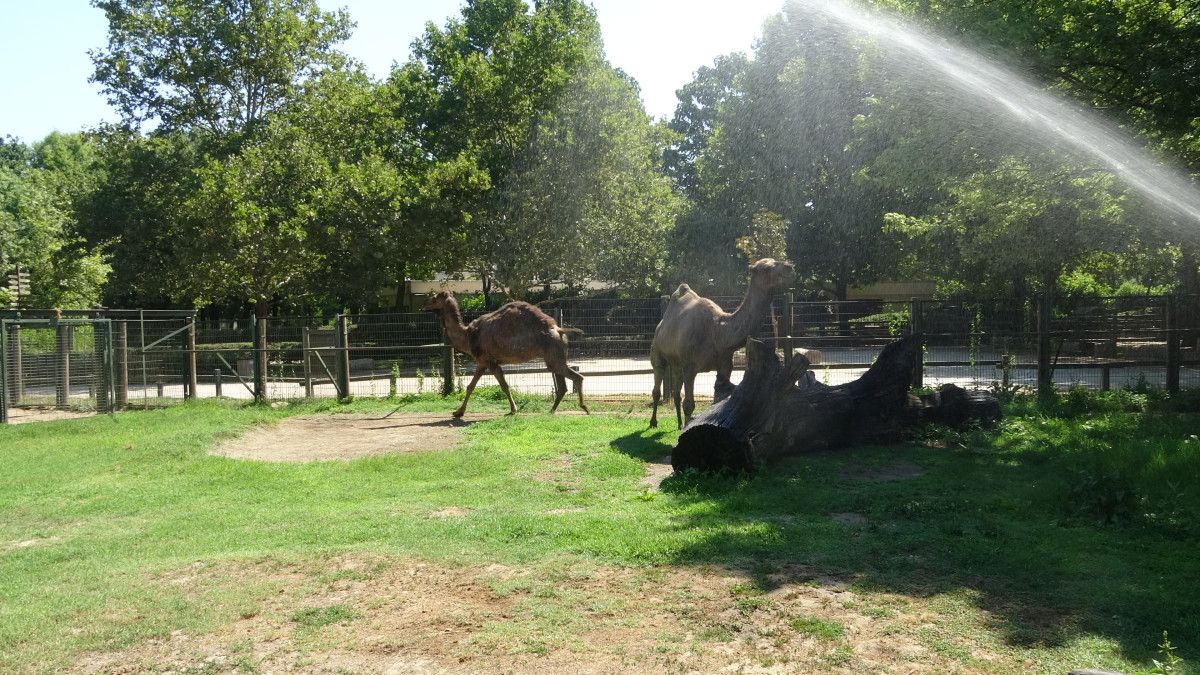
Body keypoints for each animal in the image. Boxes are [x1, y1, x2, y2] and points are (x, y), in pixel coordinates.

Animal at [422, 291, 589, 418]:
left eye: (434, 298)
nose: (424, 304)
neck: (468, 335)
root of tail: (559, 330)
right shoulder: (482, 362)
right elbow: (470, 386)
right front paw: (458, 412)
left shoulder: (490, 362)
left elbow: (504, 386)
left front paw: (513, 410)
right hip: (555, 356)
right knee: (562, 384)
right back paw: (552, 410)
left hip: (553, 354)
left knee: (576, 377)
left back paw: (584, 407)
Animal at [650, 258, 795, 428]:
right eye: (766, 268)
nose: (789, 267)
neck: (718, 332)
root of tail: (660, 326)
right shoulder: (690, 367)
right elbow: (689, 404)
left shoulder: (725, 365)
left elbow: (717, 400)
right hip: (657, 351)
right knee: (657, 385)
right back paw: (653, 422)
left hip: (677, 362)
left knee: (676, 392)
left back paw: (679, 424)